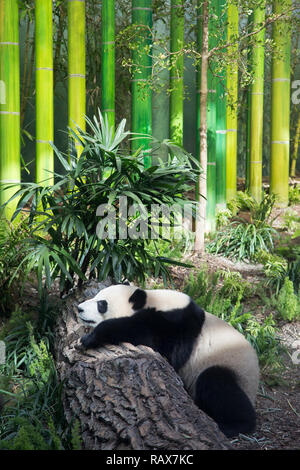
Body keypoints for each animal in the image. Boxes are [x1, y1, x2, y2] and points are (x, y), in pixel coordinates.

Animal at [78, 282, 258, 436]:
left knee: (219, 385)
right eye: (95, 296)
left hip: (233, 369)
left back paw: (235, 425)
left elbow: (152, 339)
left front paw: (90, 338)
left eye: (101, 304)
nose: (79, 309)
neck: (153, 300)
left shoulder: (177, 324)